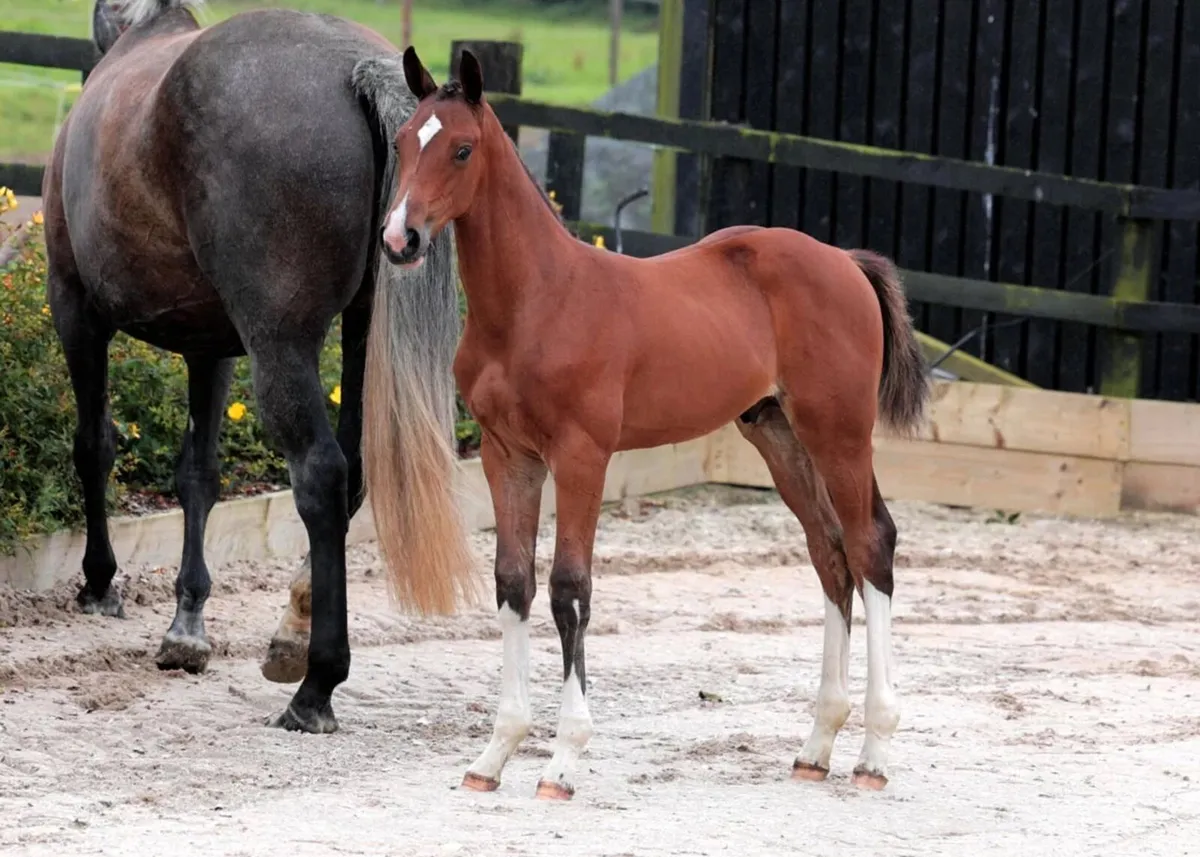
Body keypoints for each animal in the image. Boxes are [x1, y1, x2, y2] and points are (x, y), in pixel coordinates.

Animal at [43, 0, 477, 733]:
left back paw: (316, 685)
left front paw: (100, 580)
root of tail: (355, 70)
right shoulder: (210, 346)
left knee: (321, 475)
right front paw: (187, 623)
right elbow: (199, 475)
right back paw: (293, 633)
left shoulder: (76, 307)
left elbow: (94, 445)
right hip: (359, 338)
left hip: (280, 346)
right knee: (353, 473)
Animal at [373, 46, 932, 798]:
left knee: (871, 545)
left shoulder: (582, 455)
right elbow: (513, 582)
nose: (399, 238)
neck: (535, 301)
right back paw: (817, 745)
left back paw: (873, 752)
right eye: (404, 143)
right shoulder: (506, 454)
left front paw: (563, 759)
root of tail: (844, 260)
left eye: (461, 149)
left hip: (837, 431)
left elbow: (570, 589)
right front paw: (494, 754)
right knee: (830, 552)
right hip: (778, 434)